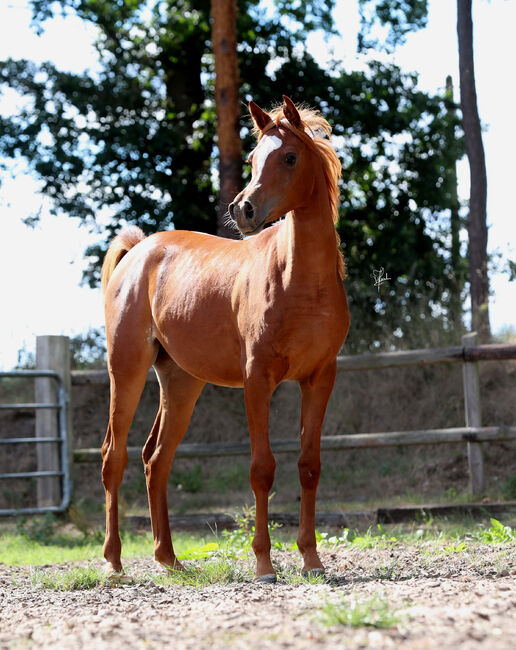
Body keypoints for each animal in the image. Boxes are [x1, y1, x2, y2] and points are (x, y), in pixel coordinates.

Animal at [100, 95, 350, 576]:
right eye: (252, 159)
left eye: (290, 157)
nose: (243, 210)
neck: (300, 281)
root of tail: (138, 252)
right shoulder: (257, 381)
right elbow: (261, 469)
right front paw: (264, 565)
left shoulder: (320, 379)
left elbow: (309, 466)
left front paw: (311, 560)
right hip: (127, 370)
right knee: (113, 457)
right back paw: (114, 561)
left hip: (180, 383)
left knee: (156, 459)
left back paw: (169, 559)